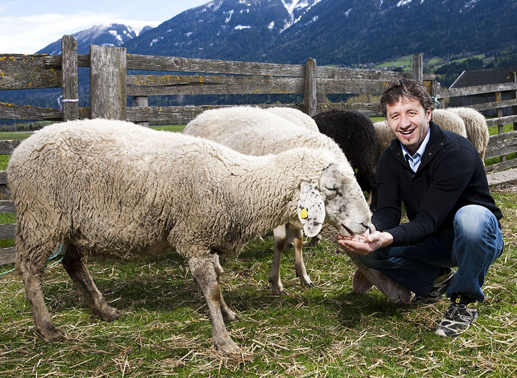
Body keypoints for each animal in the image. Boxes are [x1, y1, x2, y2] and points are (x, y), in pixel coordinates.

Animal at [9, 117, 370, 352]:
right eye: (332, 189)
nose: (367, 226)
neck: (237, 185)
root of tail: (21, 150)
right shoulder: (193, 237)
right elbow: (210, 289)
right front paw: (224, 341)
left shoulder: (207, 239)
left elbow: (217, 284)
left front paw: (227, 314)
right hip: (40, 218)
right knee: (30, 270)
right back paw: (47, 328)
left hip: (71, 224)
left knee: (72, 264)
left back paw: (103, 310)